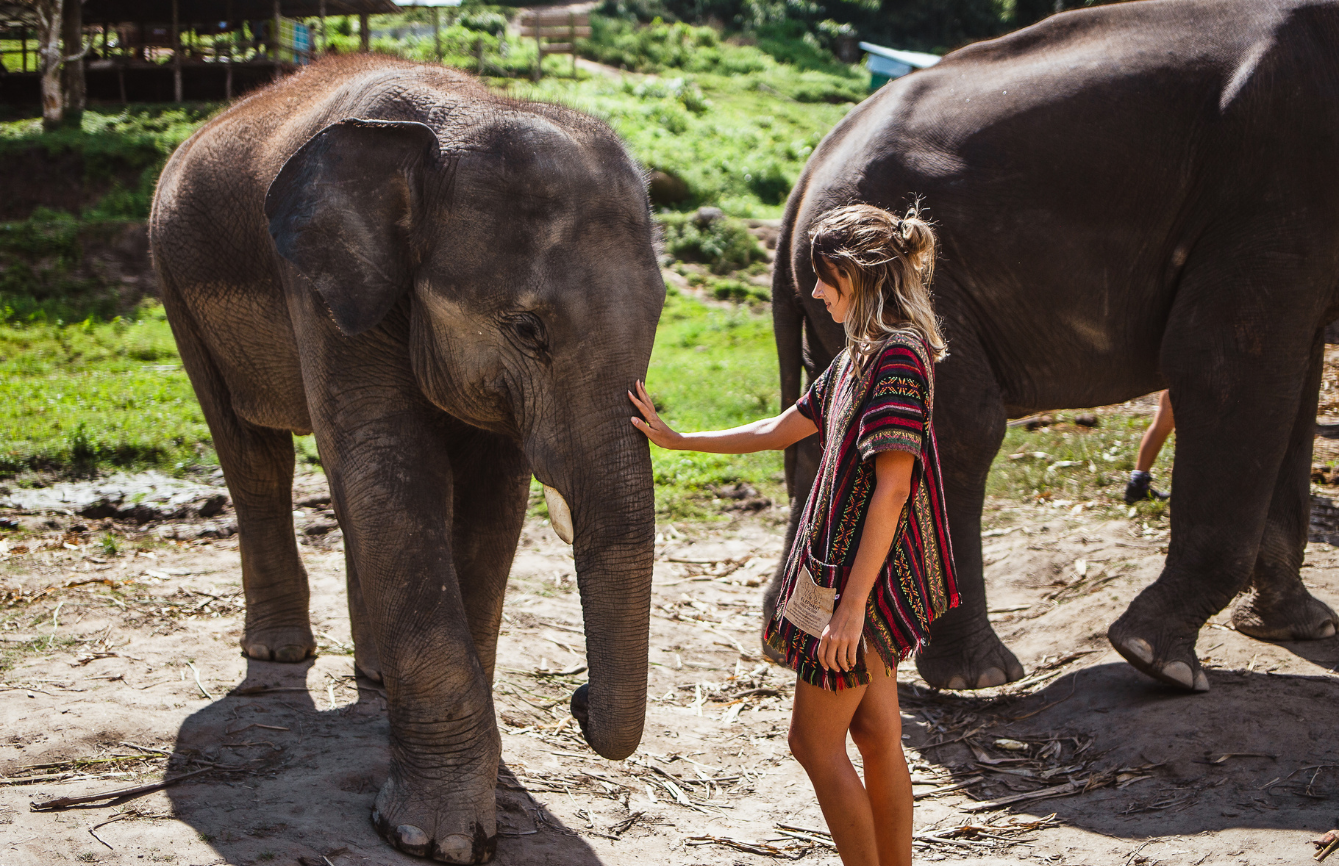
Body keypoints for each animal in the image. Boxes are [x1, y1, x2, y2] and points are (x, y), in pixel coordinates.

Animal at [149, 55, 665, 862]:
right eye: (527, 329)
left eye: (659, 320)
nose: (578, 700)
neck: (459, 114)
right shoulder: (322, 290)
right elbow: (392, 467)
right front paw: (434, 838)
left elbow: (490, 501)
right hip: (175, 284)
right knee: (254, 457)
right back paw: (278, 652)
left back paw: (375, 672)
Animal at [768, 0, 1339, 694]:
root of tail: (805, 178)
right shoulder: (1275, 177)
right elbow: (1226, 369)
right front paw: (1160, 661)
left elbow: (1295, 382)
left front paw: (1301, 628)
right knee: (963, 427)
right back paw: (980, 675)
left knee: (827, 434)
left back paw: (792, 647)